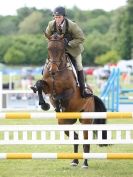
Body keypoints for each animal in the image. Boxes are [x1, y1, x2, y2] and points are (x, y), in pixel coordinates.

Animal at [31, 32, 107, 167]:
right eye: (49, 49)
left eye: (61, 49)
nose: (53, 70)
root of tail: (92, 96)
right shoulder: (47, 87)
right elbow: (40, 85)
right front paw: (44, 104)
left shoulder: (70, 90)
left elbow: (60, 96)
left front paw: (55, 104)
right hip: (64, 123)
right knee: (75, 138)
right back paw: (74, 161)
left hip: (85, 119)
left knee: (86, 141)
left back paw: (85, 164)